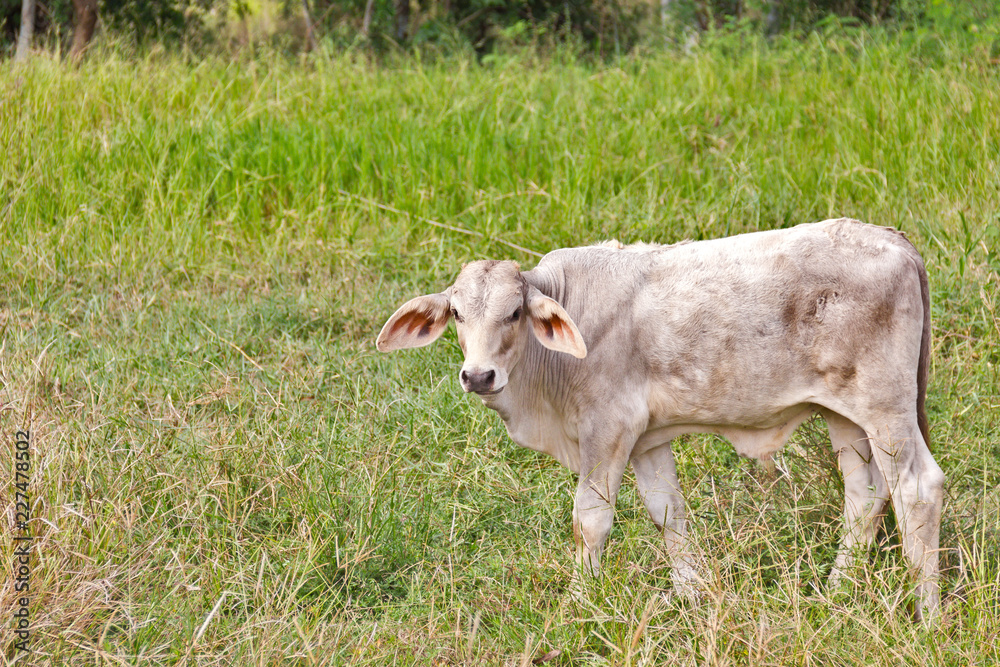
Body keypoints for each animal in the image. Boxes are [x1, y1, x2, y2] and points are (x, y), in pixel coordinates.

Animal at [376, 218, 944, 621]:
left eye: (514, 313)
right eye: (457, 313)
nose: (478, 375)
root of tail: (892, 239)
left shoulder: (608, 427)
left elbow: (591, 521)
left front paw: (578, 604)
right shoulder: (646, 439)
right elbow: (668, 513)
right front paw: (692, 597)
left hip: (886, 408)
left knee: (917, 490)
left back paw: (928, 615)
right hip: (844, 415)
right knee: (865, 496)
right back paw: (835, 591)